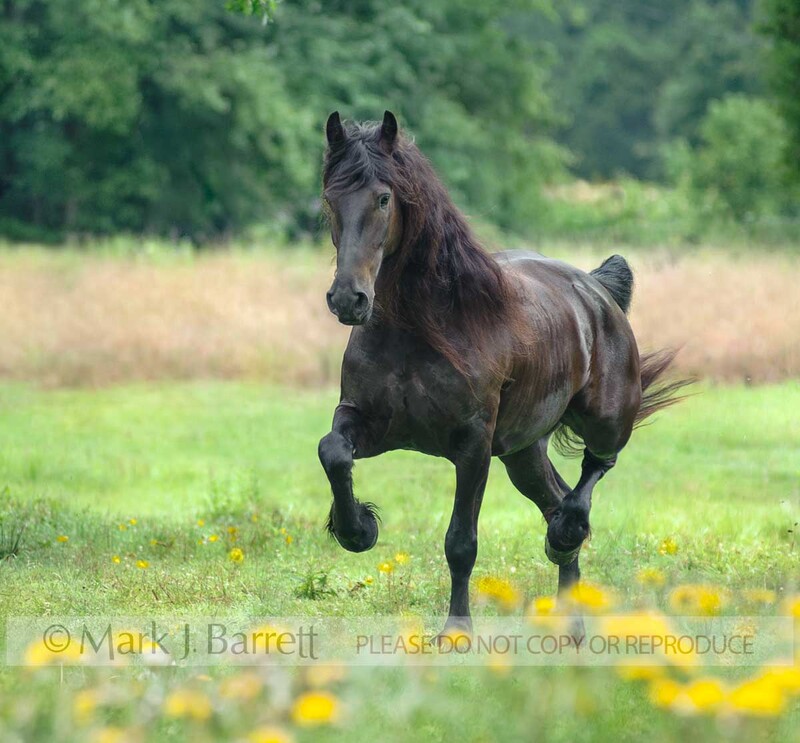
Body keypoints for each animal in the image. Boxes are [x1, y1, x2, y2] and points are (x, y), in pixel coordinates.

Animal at [318, 110, 686, 638]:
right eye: (331, 198)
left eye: (384, 198)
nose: (349, 299)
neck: (422, 327)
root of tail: (595, 288)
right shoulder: (368, 421)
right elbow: (333, 452)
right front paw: (357, 528)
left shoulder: (473, 444)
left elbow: (460, 542)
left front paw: (456, 633)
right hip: (522, 453)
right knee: (556, 496)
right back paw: (570, 621)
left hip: (603, 419)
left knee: (593, 473)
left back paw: (564, 538)